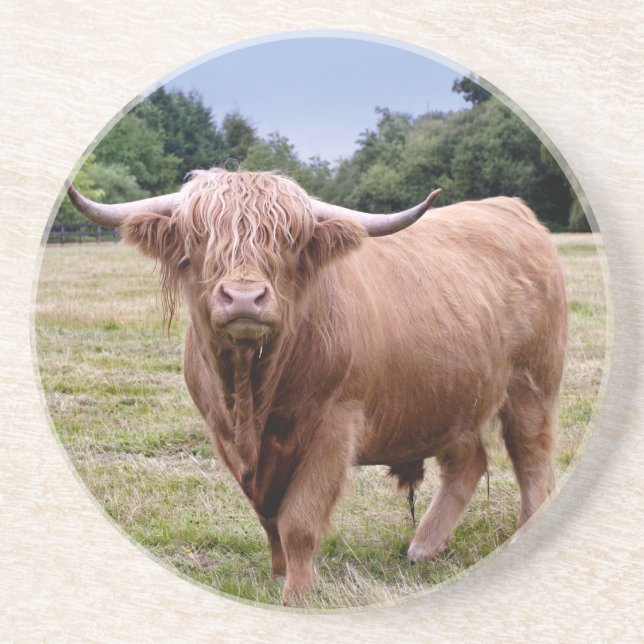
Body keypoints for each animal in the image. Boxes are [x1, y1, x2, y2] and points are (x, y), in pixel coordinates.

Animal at [67, 168, 567, 604]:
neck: (252, 397)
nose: (244, 298)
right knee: (468, 463)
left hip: (531, 386)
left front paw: (299, 592)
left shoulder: (334, 427)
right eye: (198, 237)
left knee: (533, 461)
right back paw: (423, 547)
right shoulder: (224, 435)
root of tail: (511, 208)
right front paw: (277, 575)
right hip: (452, 397)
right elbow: (268, 517)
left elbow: (299, 520)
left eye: (288, 241)